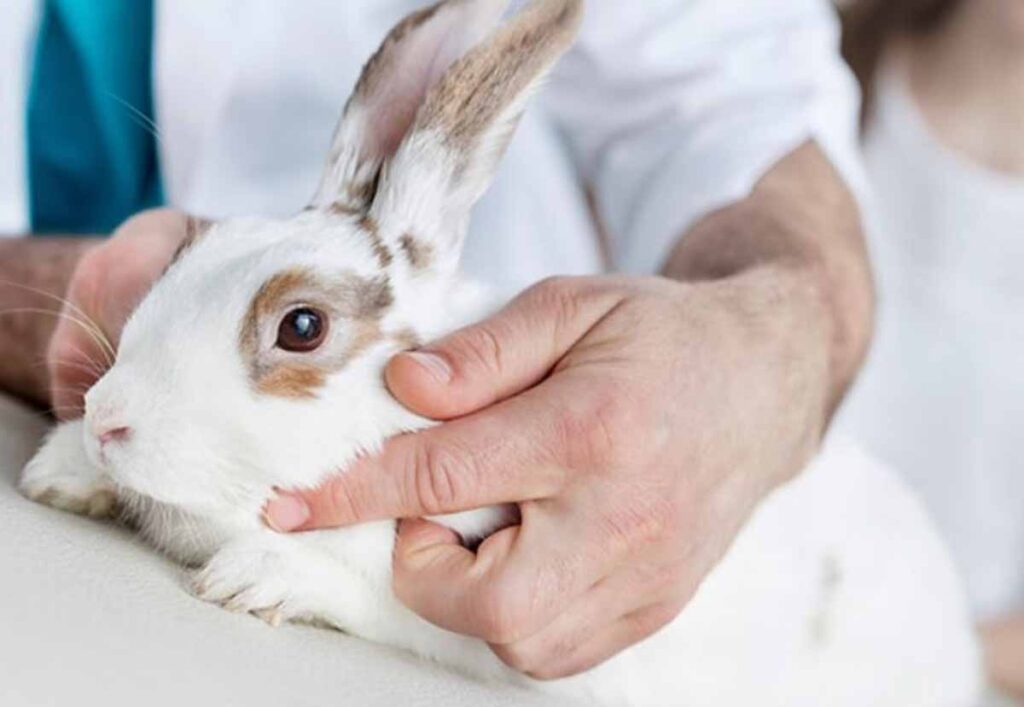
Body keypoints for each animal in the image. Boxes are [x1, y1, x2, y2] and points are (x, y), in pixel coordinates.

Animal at [18, 1, 983, 704]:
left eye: (302, 326)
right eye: (189, 250)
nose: (108, 419)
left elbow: (395, 602)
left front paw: (257, 579)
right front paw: (60, 472)